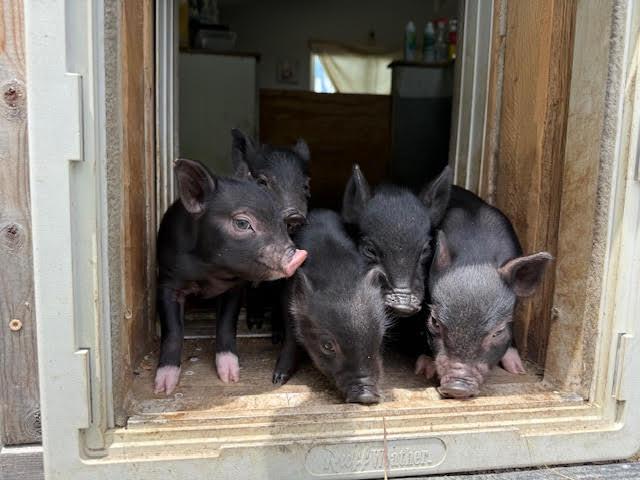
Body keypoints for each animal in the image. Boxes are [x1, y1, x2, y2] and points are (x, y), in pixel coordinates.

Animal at [154, 158, 307, 394]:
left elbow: (227, 324)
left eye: (281, 222)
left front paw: (231, 378)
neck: (208, 271)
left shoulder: (234, 287)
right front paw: (163, 389)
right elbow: (172, 331)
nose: (299, 256)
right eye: (242, 223)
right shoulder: (168, 281)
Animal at [273, 209, 389, 404]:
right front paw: (277, 380)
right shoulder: (286, 296)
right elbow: (291, 336)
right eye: (327, 345)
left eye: (380, 339)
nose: (367, 397)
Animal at [415, 185, 553, 398]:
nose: (457, 387)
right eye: (435, 322)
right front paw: (424, 369)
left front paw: (518, 370)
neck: (476, 256)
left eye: (498, 331)